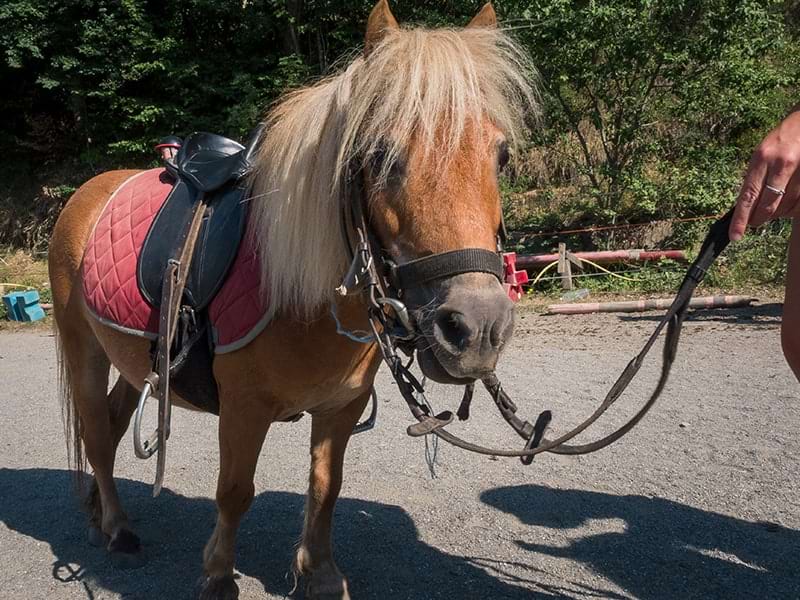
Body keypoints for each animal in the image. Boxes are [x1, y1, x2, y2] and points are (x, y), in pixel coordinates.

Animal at [47, 2, 540, 596]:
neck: (306, 296)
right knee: (97, 435)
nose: (476, 328)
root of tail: (86, 192)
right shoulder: (243, 408)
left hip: (135, 359)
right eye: (381, 155)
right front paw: (218, 575)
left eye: (502, 155)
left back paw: (102, 514)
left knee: (115, 424)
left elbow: (326, 486)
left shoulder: (341, 406)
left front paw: (320, 574)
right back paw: (118, 530)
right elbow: (235, 492)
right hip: (84, 350)